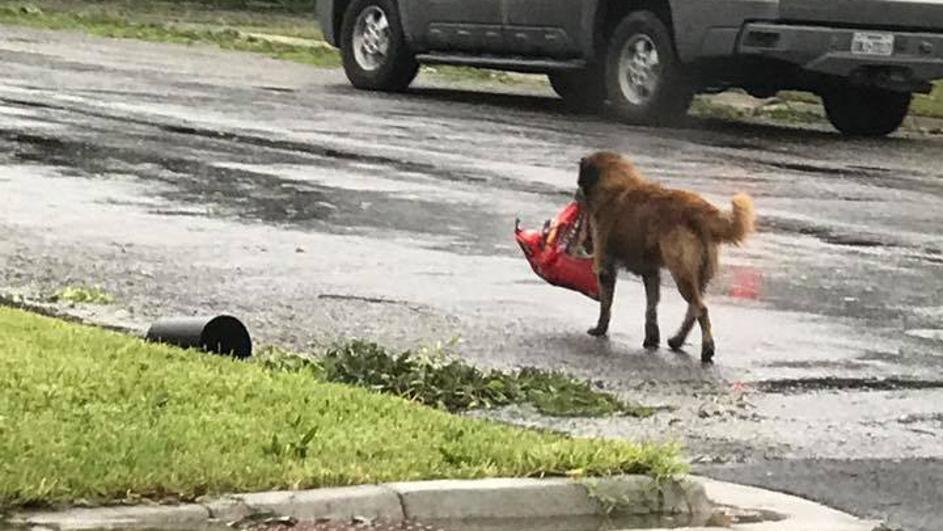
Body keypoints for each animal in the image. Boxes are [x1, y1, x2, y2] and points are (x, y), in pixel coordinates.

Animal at [572, 152, 756, 364]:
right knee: (693, 310)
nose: (575, 194)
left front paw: (600, 329)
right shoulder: (651, 272)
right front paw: (652, 339)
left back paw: (707, 349)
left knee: (701, 309)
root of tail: (698, 209)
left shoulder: (606, 267)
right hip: (699, 276)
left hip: (682, 273)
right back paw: (677, 340)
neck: (616, 184)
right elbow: (651, 307)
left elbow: (606, 304)